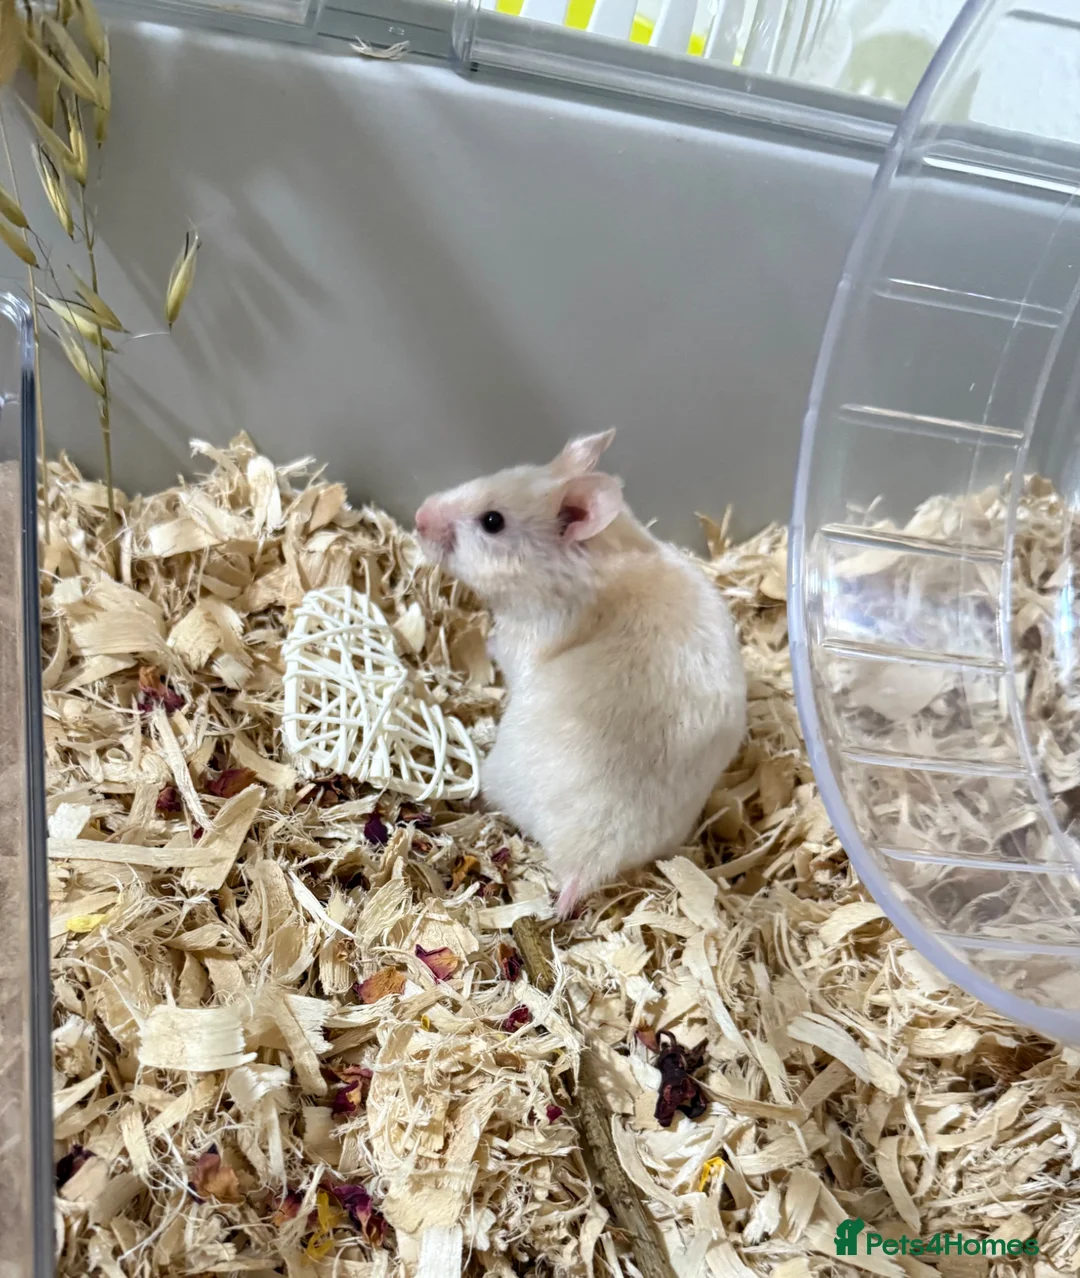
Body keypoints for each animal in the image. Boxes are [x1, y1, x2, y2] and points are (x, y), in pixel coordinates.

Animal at [414, 429, 747, 918]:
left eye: (492, 522)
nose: (418, 515)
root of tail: (584, 864)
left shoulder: (525, 637)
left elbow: (501, 646)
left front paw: (486, 639)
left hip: (501, 774)